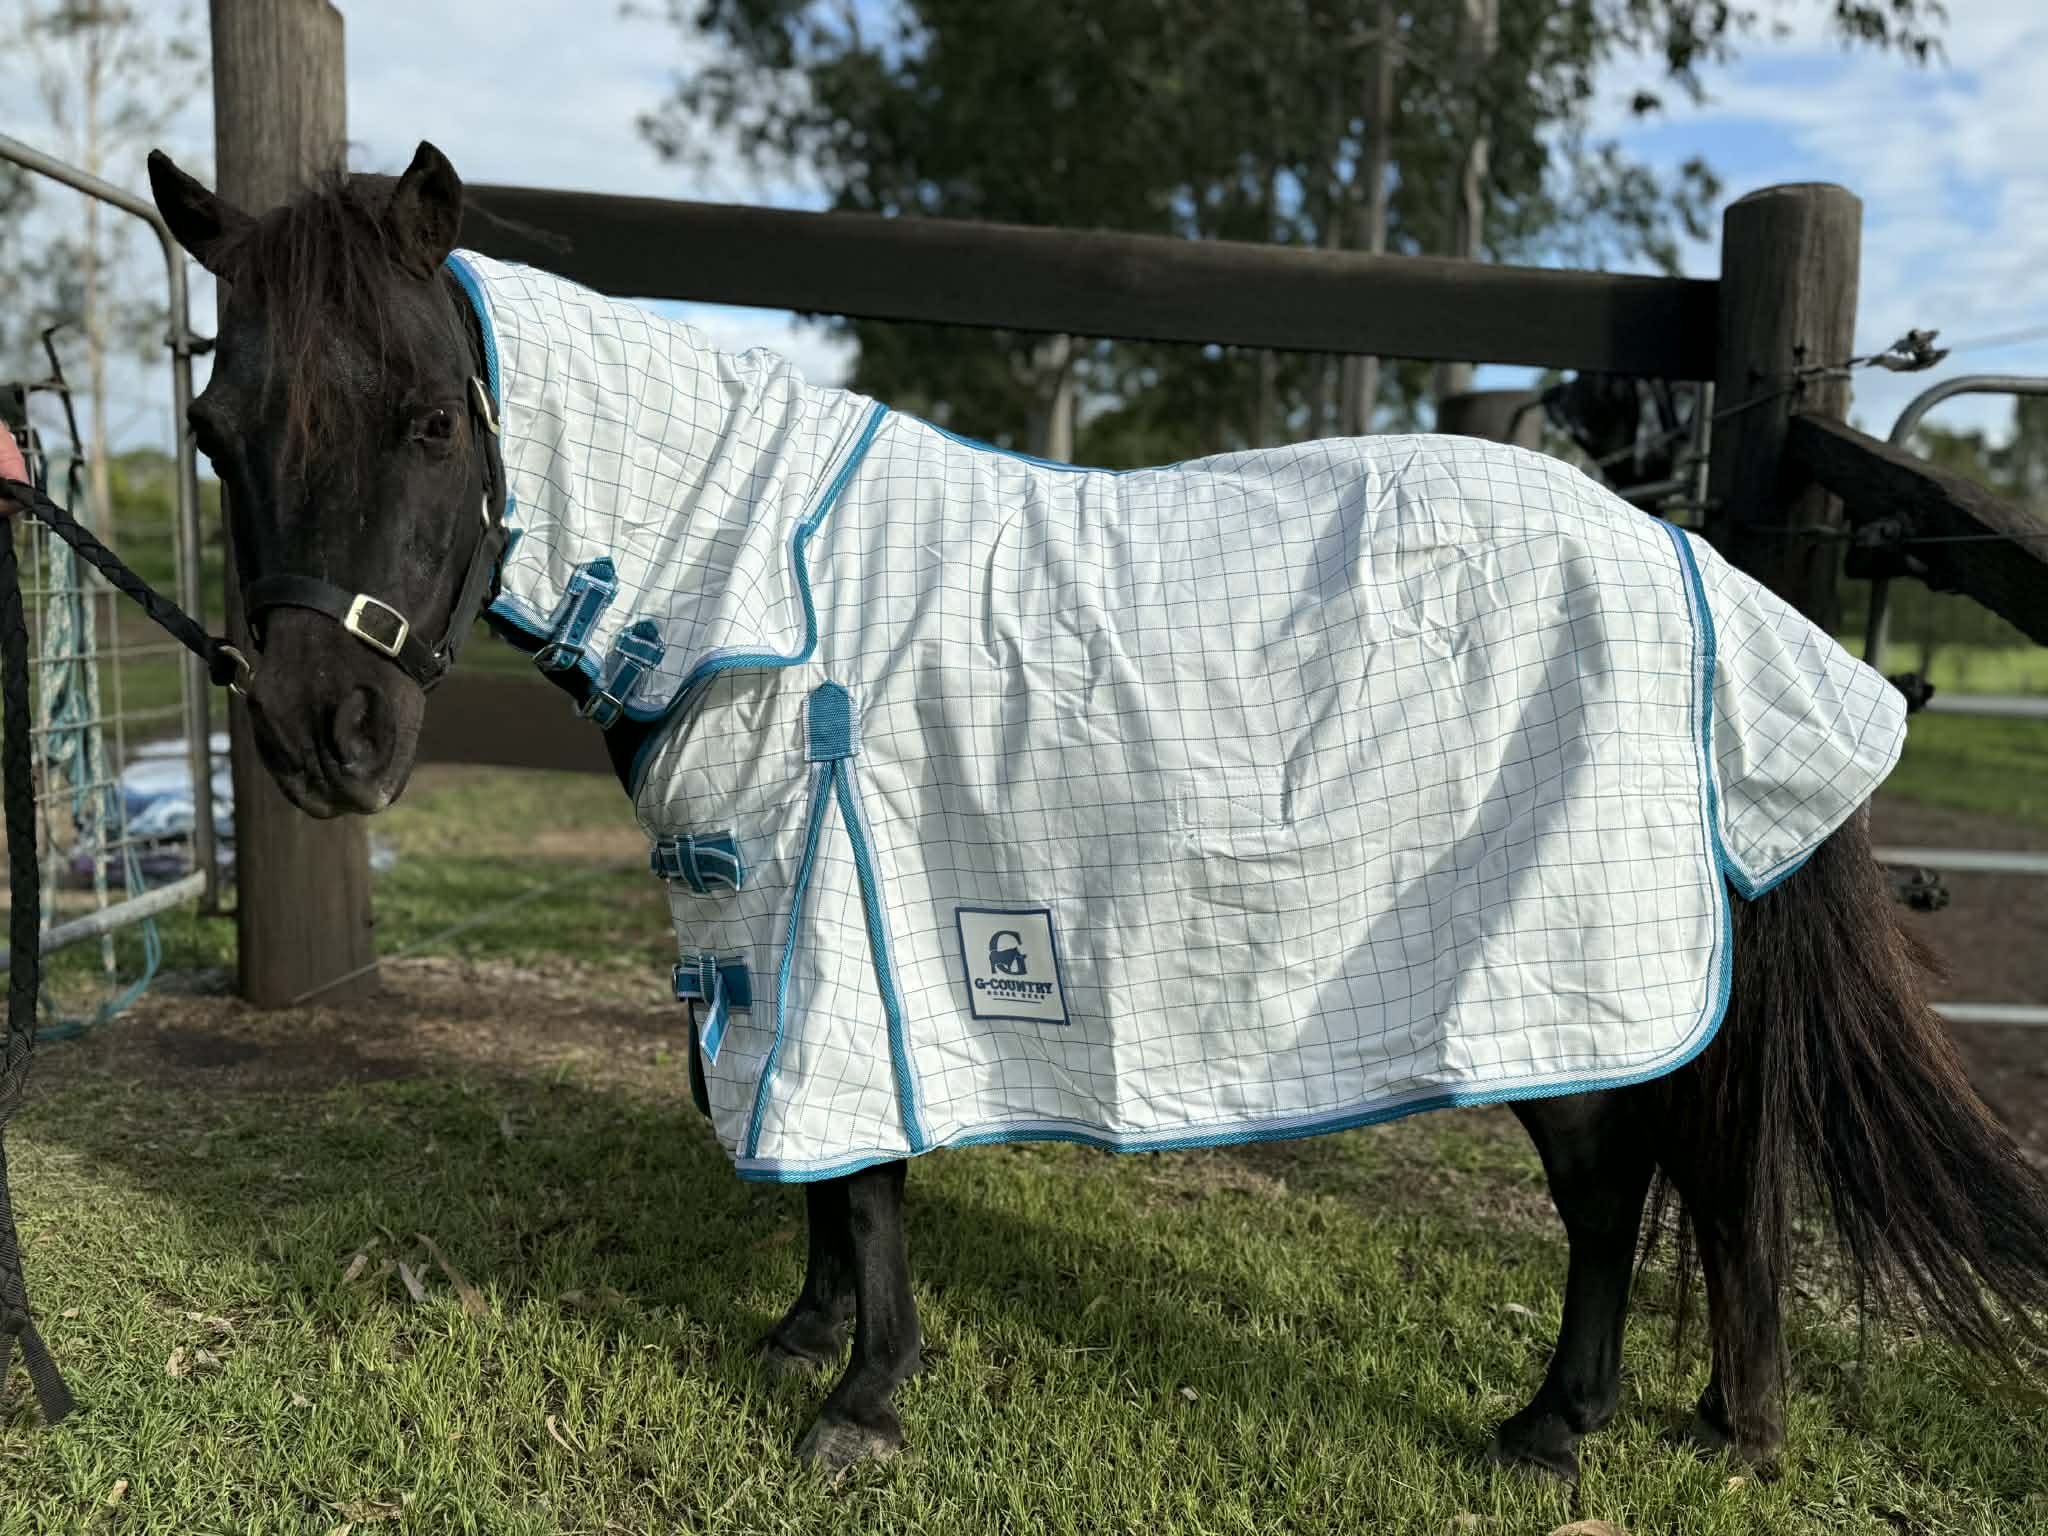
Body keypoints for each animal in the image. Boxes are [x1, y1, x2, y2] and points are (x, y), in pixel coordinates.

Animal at [143, 140, 2048, 1477]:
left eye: (422, 415)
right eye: (215, 427)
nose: (320, 734)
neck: (767, 589)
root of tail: (1684, 564)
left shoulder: (842, 923)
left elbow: (870, 1174)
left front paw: (864, 1401)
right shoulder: (769, 925)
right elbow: (817, 1174)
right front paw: (801, 1335)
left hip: (1550, 979)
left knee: (1608, 1189)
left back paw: (1550, 1427)